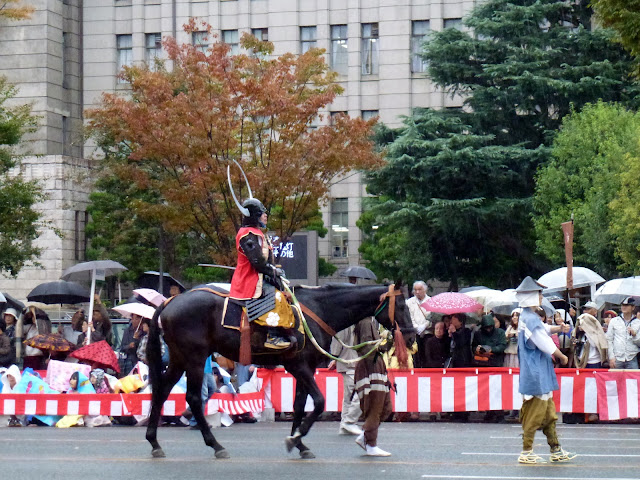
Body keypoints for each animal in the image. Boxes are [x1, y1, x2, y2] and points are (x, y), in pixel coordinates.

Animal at [144, 284, 416, 460]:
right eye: (403, 305)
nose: (411, 336)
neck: (318, 310)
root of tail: (169, 302)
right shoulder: (299, 366)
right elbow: (319, 402)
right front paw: (295, 439)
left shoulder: (305, 369)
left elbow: (300, 405)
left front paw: (301, 443)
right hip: (195, 358)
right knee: (192, 398)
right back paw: (215, 445)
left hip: (179, 358)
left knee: (161, 391)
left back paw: (154, 442)